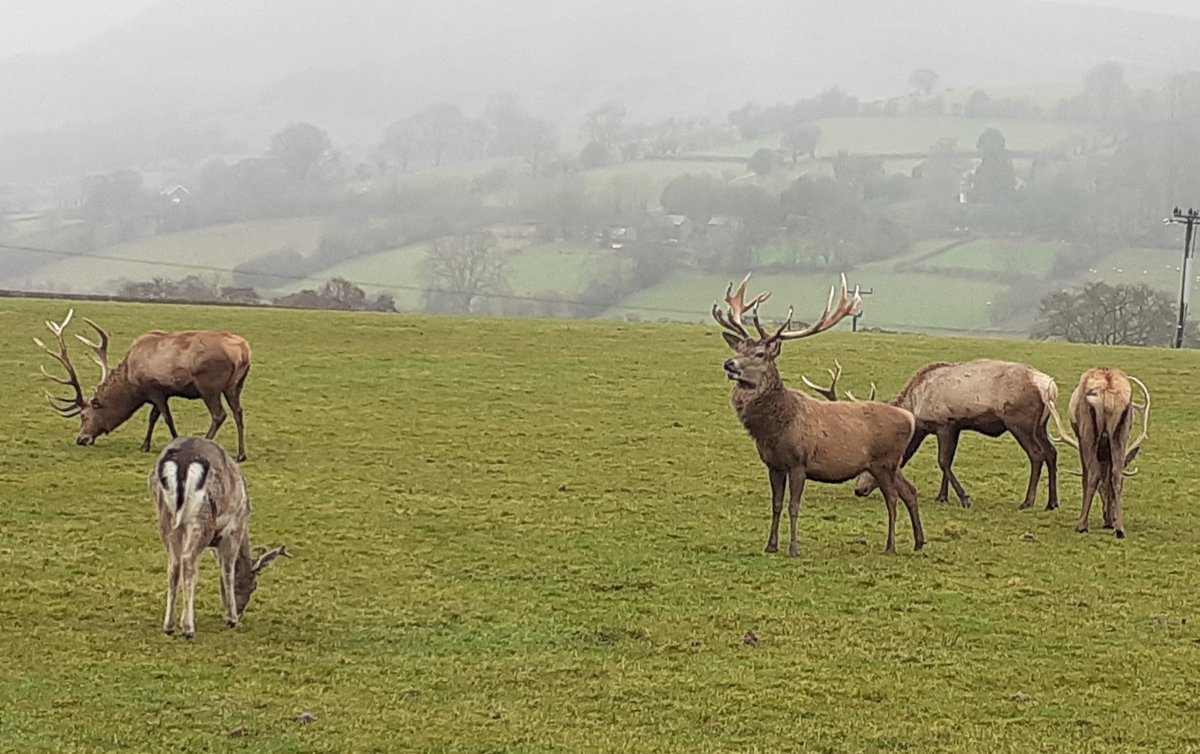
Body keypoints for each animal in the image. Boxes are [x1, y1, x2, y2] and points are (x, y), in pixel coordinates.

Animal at [34, 309, 253, 461]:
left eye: (84, 415)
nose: (81, 439)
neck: (131, 383)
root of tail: (243, 351)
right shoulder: (160, 392)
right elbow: (153, 417)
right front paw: (144, 446)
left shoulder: (154, 388)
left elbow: (166, 418)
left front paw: (173, 443)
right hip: (235, 385)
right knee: (238, 412)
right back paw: (241, 454)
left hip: (209, 385)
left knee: (219, 415)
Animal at [150, 436, 290, 638]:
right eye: (254, 585)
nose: (240, 612)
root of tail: (184, 459)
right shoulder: (234, 528)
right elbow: (228, 571)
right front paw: (231, 618)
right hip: (202, 518)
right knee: (188, 561)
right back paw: (188, 628)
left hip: (165, 517)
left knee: (173, 565)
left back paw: (169, 625)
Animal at [714, 273, 925, 556]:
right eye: (738, 350)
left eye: (760, 354)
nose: (729, 364)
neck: (775, 429)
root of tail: (909, 418)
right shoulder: (773, 465)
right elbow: (776, 505)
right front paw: (770, 546)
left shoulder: (799, 462)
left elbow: (793, 506)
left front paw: (794, 549)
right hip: (891, 464)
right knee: (909, 492)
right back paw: (919, 542)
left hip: (884, 461)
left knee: (892, 498)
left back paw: (891, 547)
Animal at [805, 359, 1061, 511]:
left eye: (870, 464)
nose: (858, 490)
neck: (917, 408)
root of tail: (1049, 387)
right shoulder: (955, 427)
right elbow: (948, 462)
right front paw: (942, 496)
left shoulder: (944, 423)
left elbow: (943, 461)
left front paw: (964, 498)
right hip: (1041, 425)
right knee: (1052, 452)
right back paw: (1052, 502)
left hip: (1020, 421)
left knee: (1037, 454)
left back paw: (1028, 501)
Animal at [1048, 367, 1149, 539]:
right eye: (1102, 491)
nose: (1110, 518)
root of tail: (1108, 392)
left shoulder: (1080, 439)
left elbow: (1085, 476)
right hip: (1121, 432)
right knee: (1116, 474)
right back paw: (1120, 529)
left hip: (1087, 431)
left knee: (1093, 474)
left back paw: (1082, 525)